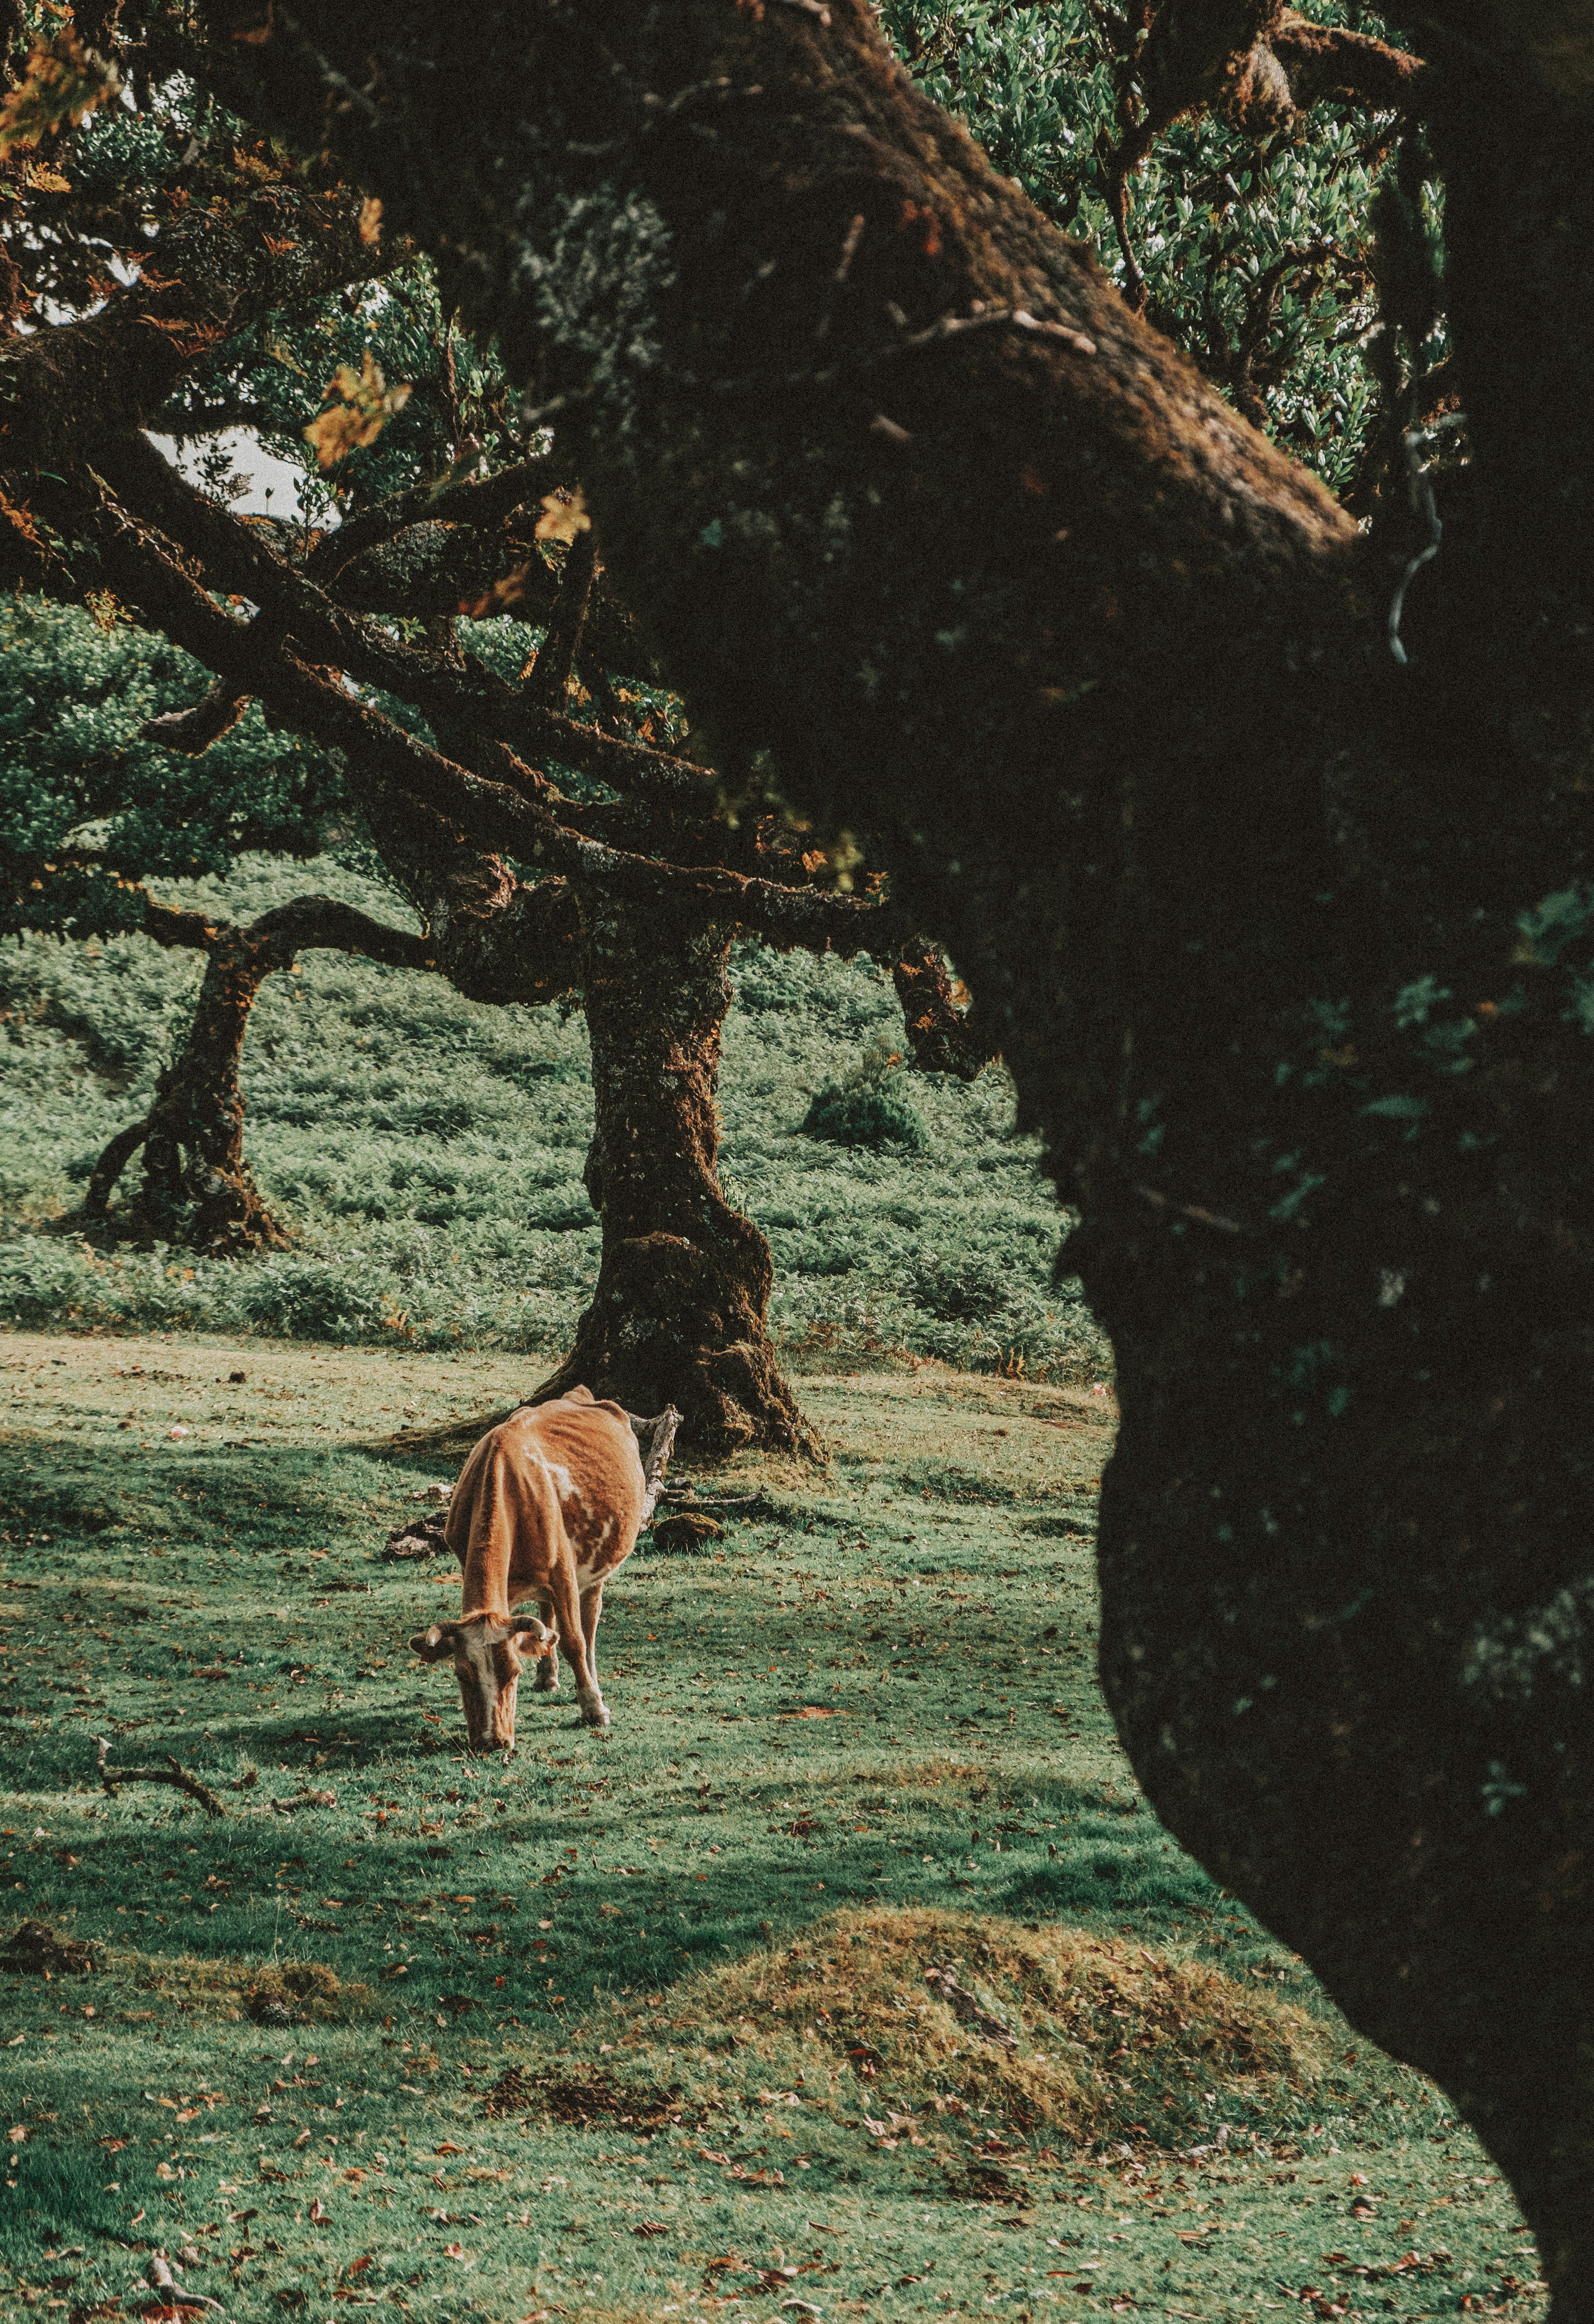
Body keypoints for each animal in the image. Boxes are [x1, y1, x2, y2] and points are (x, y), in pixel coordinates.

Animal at [409, 1385, 678, 1747]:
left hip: (597, 1568)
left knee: (589, 1627)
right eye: (461, 1674)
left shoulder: (563, 1574)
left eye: (513, 1673)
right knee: (545, 1617)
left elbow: (573, 1641)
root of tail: (580, 1395)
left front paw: (594, 1707)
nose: (492, 1741)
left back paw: (592, 1681)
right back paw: (547, 1676)